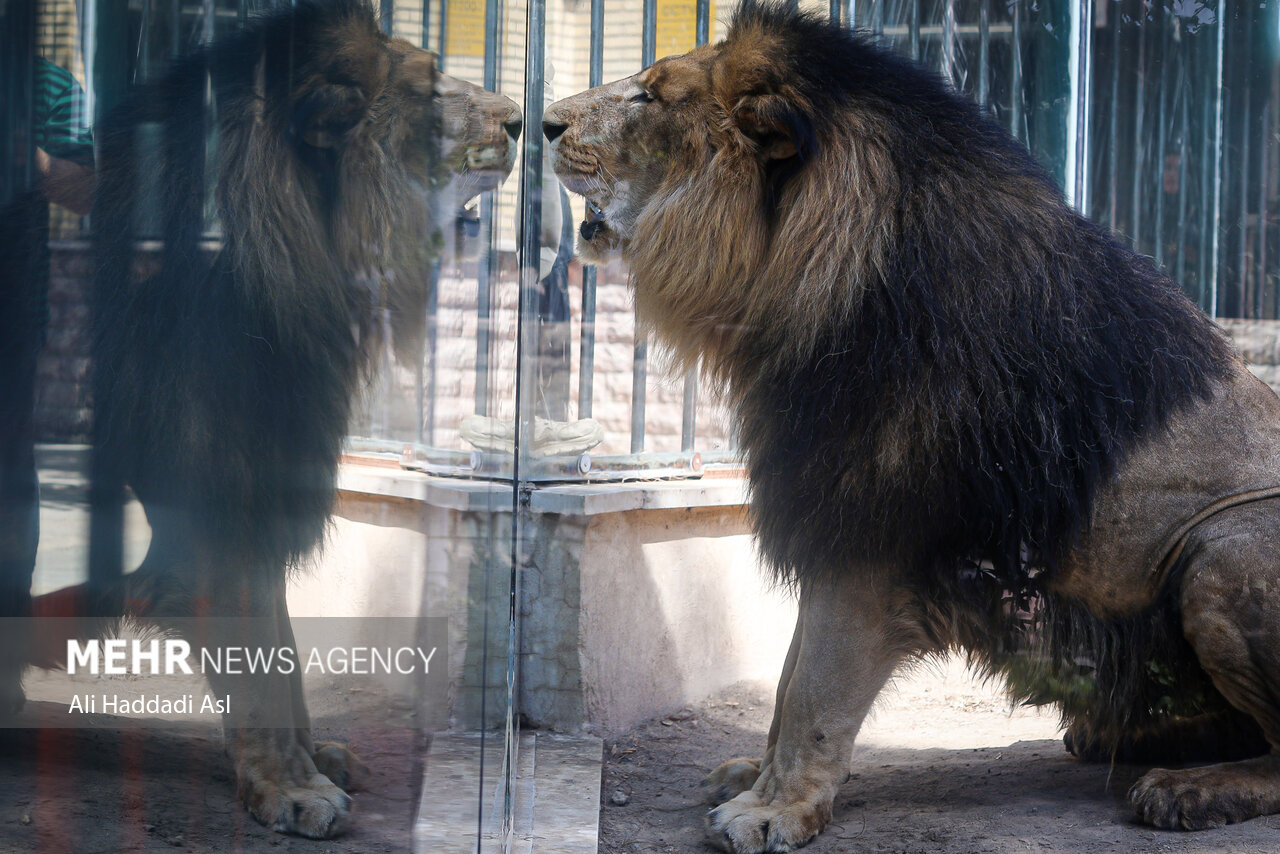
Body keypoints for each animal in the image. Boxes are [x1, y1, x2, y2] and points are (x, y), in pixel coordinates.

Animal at [1, 0, 519, 839]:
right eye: (429, 91)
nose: (521, 120)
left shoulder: (265, 495)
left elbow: (285, 654)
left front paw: (313, 762)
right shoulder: (215, 515)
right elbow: (259, 671)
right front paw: (293, 789)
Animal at [545, 3, 1280, 850]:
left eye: (652, 96)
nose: (544, 122)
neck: (799, 276)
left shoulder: (868, 532)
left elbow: (815, 690)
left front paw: (772, 808)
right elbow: (790, 679)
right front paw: (757, 778)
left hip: (1221, 551)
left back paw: (1189, 789)